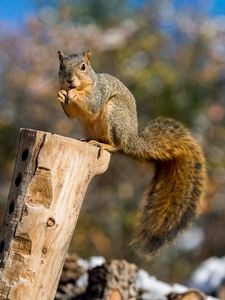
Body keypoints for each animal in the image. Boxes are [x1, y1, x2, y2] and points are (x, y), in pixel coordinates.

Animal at [57, 50, 207, 256]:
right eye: (61, 67)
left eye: (83, 66)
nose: (69, 80)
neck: (86, 84)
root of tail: (131, 139)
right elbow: (71, 113)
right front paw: (61, 94)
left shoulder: (98, 95)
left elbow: (91, 104)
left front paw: (72, 94)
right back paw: (87, 141)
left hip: (115, 115)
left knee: (117, 146)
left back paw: (104, 145)